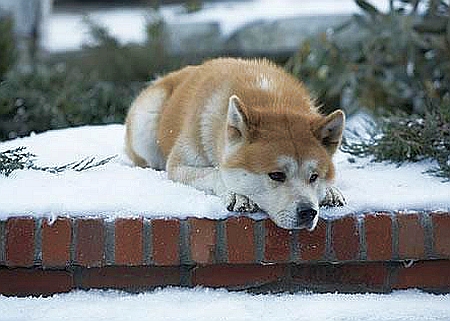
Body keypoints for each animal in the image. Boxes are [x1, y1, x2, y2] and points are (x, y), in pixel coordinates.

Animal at [125, 57, 346, 228]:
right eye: (276, 175)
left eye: (314, 176)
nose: (308, 212)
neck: (272, 101)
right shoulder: (178, 166)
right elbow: (215, 172)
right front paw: (238, 195)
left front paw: (330, 191)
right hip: (146, 122)